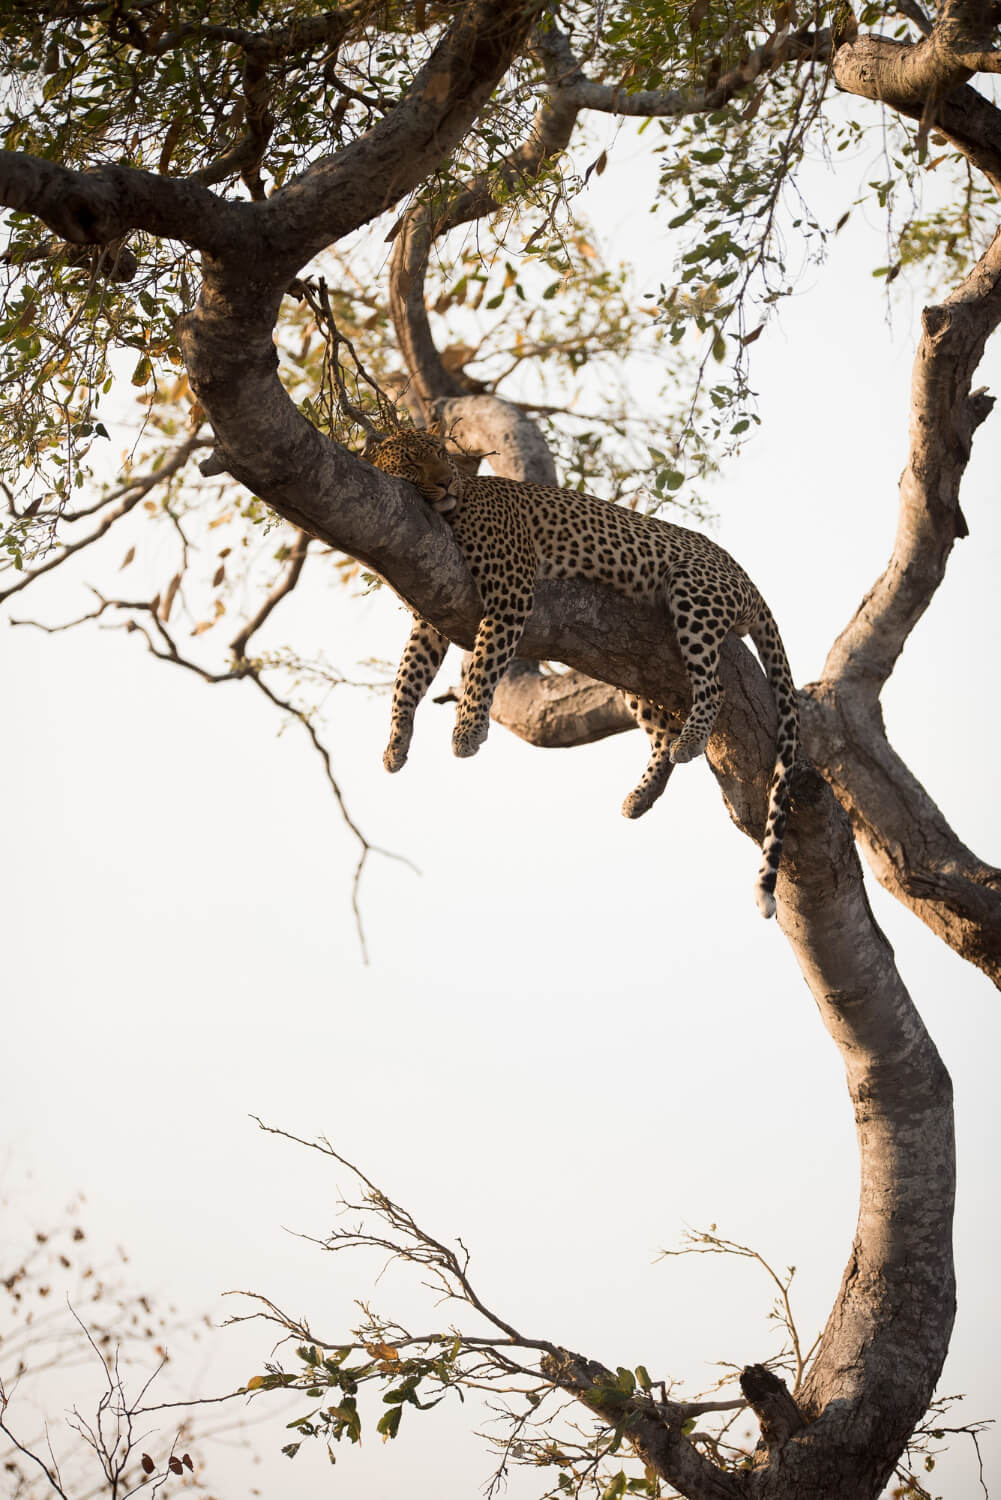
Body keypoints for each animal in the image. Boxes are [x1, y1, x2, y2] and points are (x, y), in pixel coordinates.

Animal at [367, 435, 798, 918]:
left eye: (442, 455)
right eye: (411, 460)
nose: (444, 481)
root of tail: (746, 576)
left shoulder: (511, 593)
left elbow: (482, 666)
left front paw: (467, 733)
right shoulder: (431, 612)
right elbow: (407, 676)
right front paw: (395, 745)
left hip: (695, 591)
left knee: (714, 686)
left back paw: (691, 741)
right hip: (629, 667)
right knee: (660, 734)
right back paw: (640, 796)